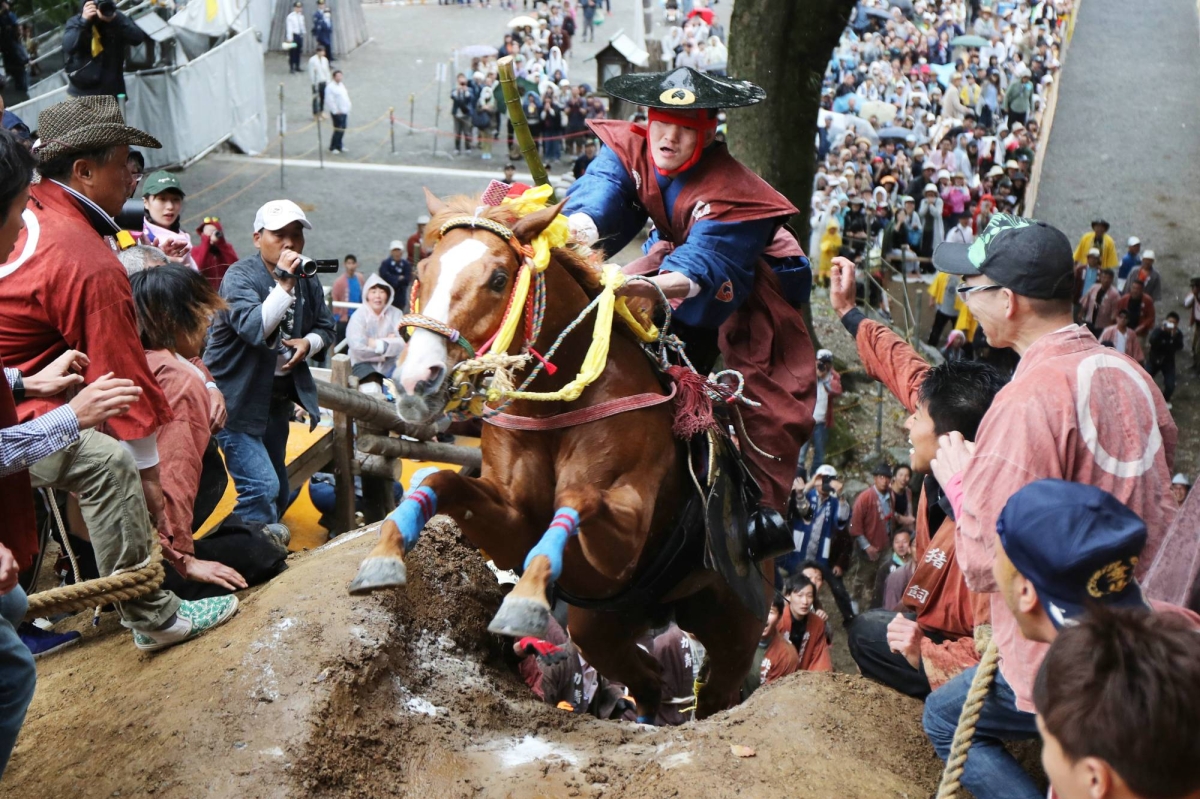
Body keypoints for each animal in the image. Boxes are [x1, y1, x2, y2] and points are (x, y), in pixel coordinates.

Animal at [348, 193, 758, 719]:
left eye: (498, 278)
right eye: (424, 267)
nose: (417, 379)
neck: (557, 407)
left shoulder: (623, 538)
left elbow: (577, 500)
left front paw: (524, 599)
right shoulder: (513, 522)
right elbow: (438, 483)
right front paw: (383, 556)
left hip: (734, 622)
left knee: (716, 691)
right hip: (600, 626)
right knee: (648, 679)